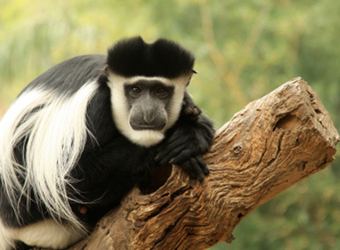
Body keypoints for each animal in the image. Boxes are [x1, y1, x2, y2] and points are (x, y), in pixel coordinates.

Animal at [0, 36, 215, 249]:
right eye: (136, 90)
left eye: (160, 91)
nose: (148, 112)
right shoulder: (94, 107)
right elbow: (75, 179)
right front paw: (177, 144)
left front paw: (189, 133)